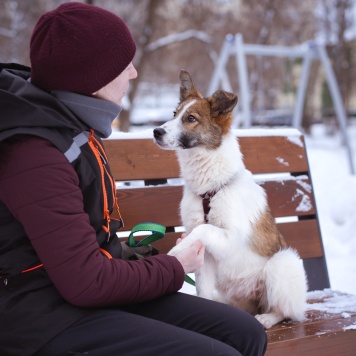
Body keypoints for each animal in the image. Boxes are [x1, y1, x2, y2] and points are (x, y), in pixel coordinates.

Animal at [152, 69, 308, 328]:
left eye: (191, 118)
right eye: (174, 114)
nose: (156, 132)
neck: (210, 189)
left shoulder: (232, 235)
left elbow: (203, 229)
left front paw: (176, 250)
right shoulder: (205, 257)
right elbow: (203, 288)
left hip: (283, 262)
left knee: (285, 311)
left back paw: (267, 318)